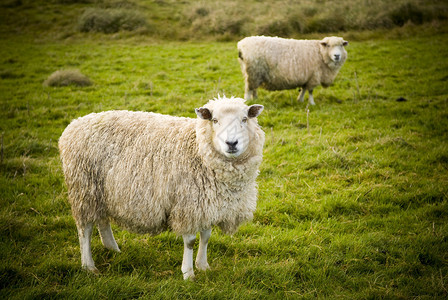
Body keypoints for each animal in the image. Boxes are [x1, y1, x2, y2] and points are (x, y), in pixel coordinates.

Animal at [57, 95, 264, 278]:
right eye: (215, 120)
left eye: (244, 119)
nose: (231, 143)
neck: (197, 148)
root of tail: (74, 124)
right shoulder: (187, 204)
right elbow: (190, 241)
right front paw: (188, 273)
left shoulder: (206, 204)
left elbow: (206, 236)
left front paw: (203, 266)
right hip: (84, 188)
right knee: (85, 229)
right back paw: (88, 266)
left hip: (102, 190)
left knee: (102, 220)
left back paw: (112, 248)